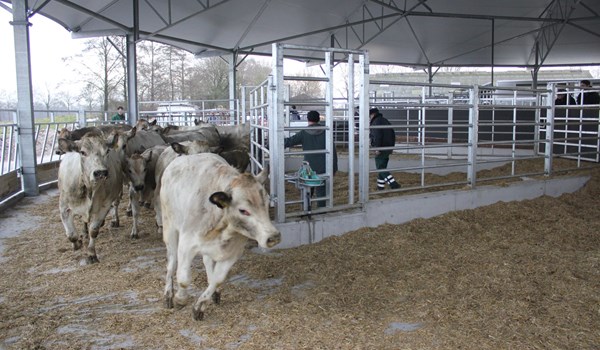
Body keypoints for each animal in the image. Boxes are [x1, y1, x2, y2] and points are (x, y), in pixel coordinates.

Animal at [58, 133, 125, 262]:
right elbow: (71, 235)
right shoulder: (64, 207)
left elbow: (94, 230)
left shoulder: (104, 206)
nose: (100, 173)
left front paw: (91, 253)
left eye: (107, 151)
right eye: (83, 152)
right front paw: (77, 243)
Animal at [161, 153, 280, 320]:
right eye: (243, 210)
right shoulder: (186, 244)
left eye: (268, 201)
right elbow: (183, 278)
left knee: (207, 262)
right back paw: (168, 295)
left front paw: (200, 305)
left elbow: (217, 279)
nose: (273, 237)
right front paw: (180, 299)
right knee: (171, 263)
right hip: (169, 228)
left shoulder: (233, 253)